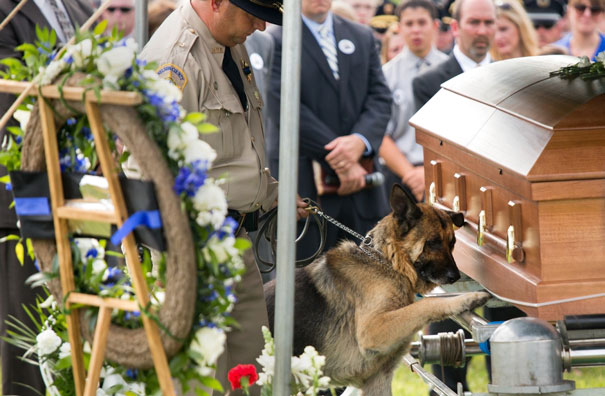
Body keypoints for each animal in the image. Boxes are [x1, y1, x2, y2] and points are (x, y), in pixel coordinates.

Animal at [264, 184, 490, 394]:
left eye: (452, 243)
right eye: (433, 243)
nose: (456, 276)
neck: (387, 262)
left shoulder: (379, 378)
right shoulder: (373, 330)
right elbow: (426, 304)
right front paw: (469, 298)